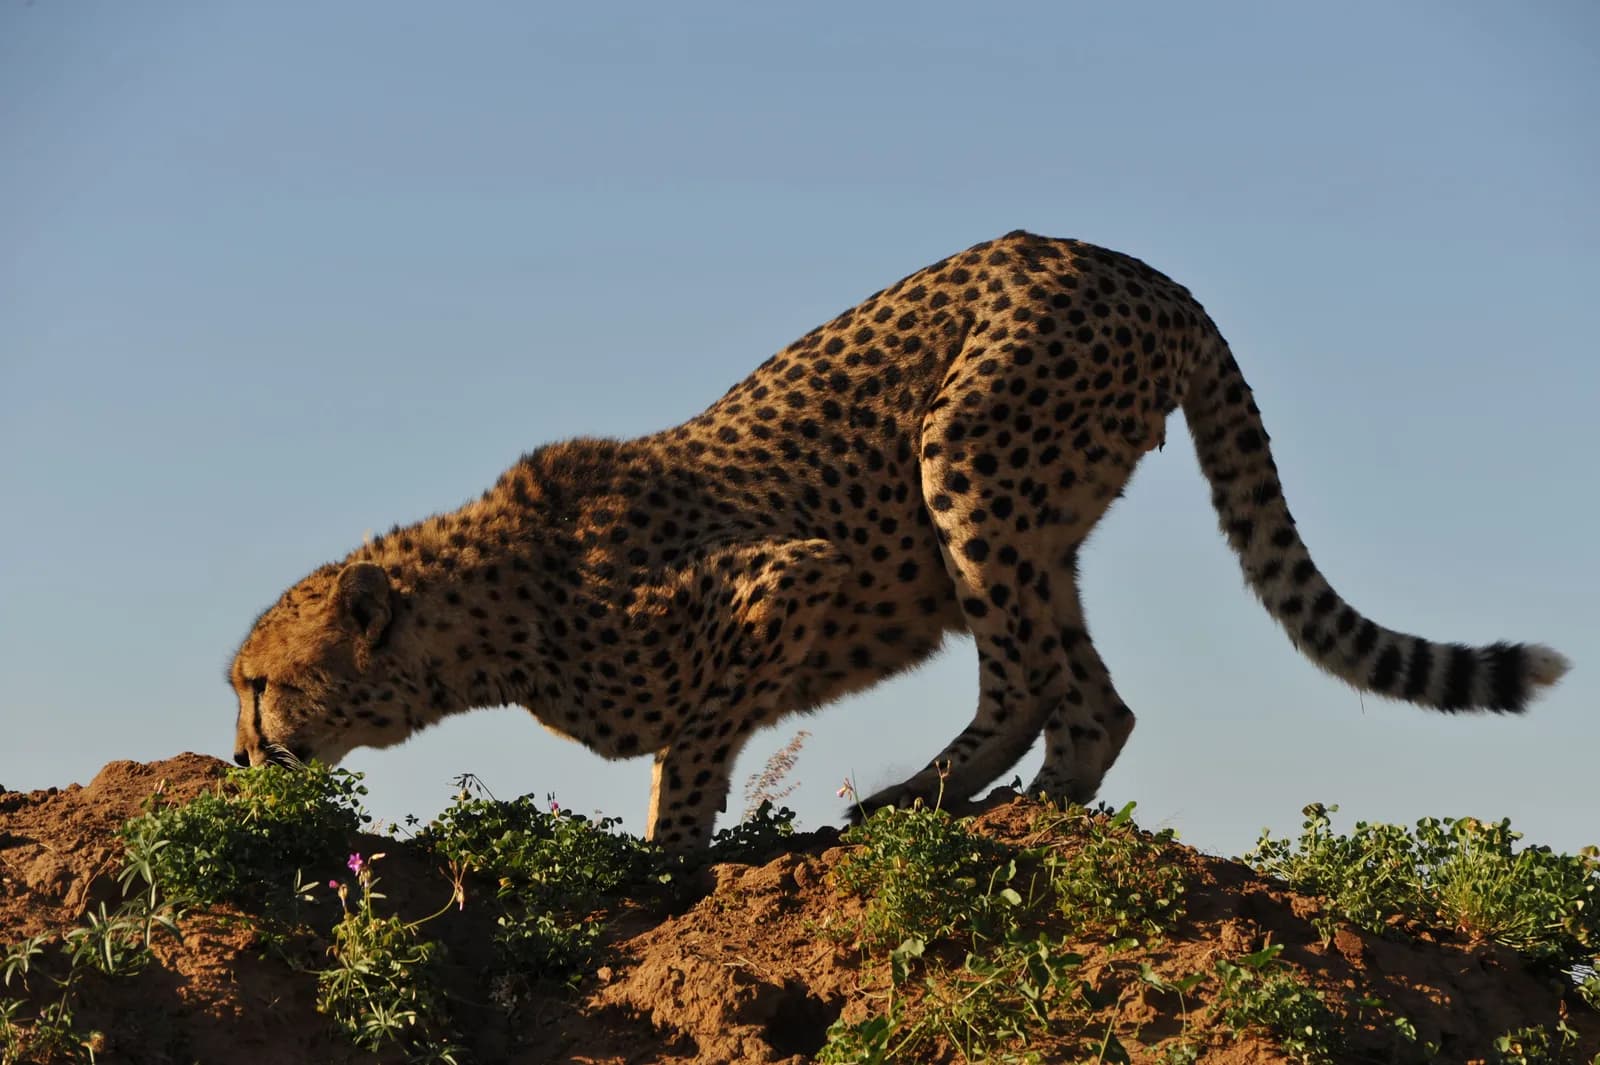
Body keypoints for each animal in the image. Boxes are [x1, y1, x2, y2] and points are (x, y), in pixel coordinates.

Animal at [229, 230, 1570, 849]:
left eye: (256, 683)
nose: (240, 758)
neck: (487, 622)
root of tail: (1142, 269)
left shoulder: (786, 578)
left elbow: (692, 751)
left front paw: (664, 867)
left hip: (966, 461)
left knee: (1039, 685)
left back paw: (921, 805)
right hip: (1038, 524)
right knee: (1085, 696)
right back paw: (1019, 808)